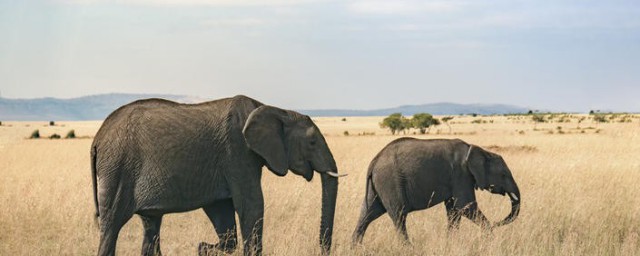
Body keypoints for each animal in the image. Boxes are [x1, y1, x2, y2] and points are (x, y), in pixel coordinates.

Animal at [92, 95, 342, 255]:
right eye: (312, 142)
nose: (322, 250)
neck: (275, 109)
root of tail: (97, 139)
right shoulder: (237, 151)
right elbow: (252, 206)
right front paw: (204, 246)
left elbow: (223, 212)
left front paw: (203, 248)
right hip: (117, 169)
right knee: (111, 227)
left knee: (150, 226)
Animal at [352, 138, 524, 244]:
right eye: (503, 175)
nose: (497, 223)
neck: (478, 150)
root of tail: (374, 162)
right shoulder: (461, 174)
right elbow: (465, 206)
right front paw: (490, 237)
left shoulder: (457, 179)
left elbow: (454, 211)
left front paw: (450, 242)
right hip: (390, 182)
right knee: (399, 216)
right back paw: (408, 248)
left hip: (379, 185)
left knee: (367, 214)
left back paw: (356, 247)